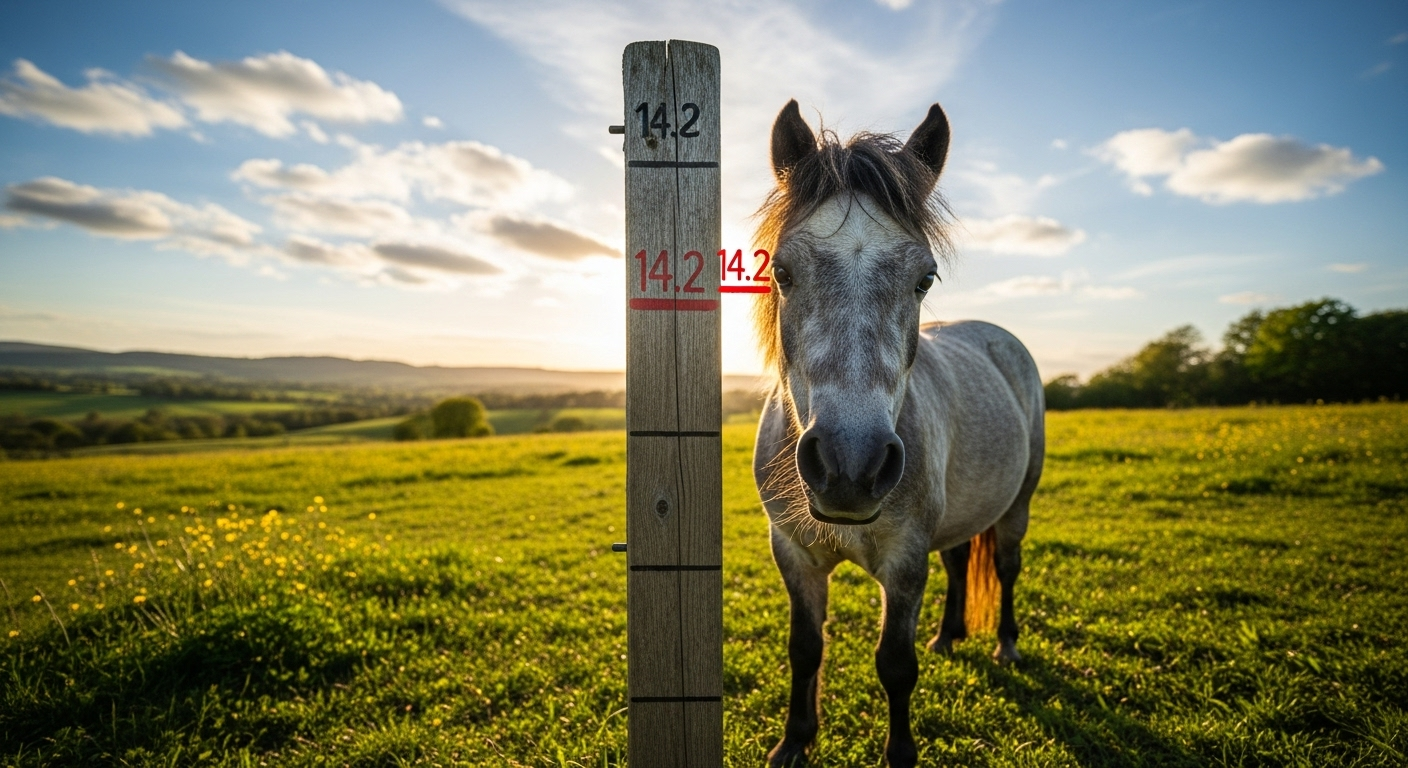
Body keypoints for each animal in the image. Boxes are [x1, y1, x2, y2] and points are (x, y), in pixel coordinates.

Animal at [751, 100, 1045, 767]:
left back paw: (1005, 644)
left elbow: (894, 666)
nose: (849, 468)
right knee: (961, 559)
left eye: (925, 279)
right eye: (782, 270)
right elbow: (804, 649)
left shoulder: (906, 562)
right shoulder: (794, 555)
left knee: (1006, 567)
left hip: (1017, 504)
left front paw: (900, 752)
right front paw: (793, 743)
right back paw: (949, 635)